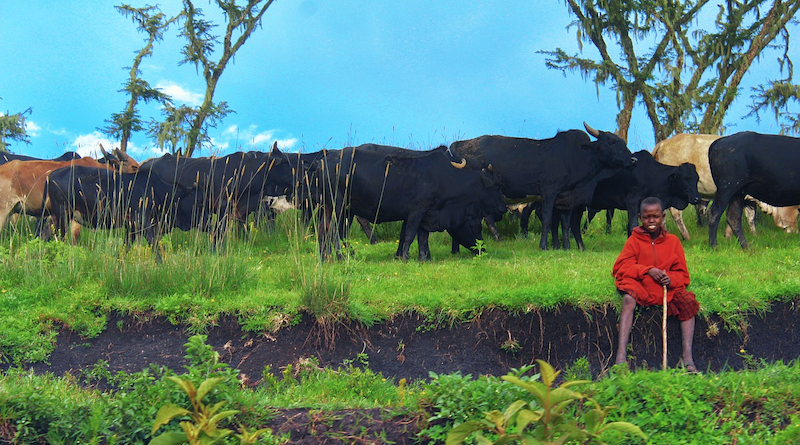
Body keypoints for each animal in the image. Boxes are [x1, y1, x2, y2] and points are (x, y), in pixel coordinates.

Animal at [41, 164, 206, 260]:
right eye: (198, 202)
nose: (208, 223)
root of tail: (51, 175)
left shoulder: (131, 227)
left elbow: (126, 247)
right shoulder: (142, 220)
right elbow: (154, 245)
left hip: (53, 217)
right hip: (63, 215)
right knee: (60, 238)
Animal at [312, 146, 506, 258]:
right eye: (496, 186)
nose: (503, 208)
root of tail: (325, 160)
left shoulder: (423, 213)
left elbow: (419, 237)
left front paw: (422, 258)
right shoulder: (418, 210)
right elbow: (410, 234)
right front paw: (405, 257)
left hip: (330, 207)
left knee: (323, 229)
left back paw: (326, 257)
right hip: (339, 206)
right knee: (335, 230)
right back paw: (341, 256)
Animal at [446, 123, 636, 248]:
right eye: (611, 142)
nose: (633, 159)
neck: (574, 156)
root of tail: (459, 144)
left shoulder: (566, 198)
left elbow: (565, 223)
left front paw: (566, 246)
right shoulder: (549, 192)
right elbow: (546, 219)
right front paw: (544, 246)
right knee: (487, 218)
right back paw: (497, 239)